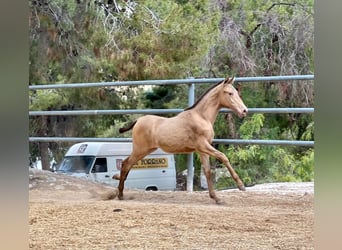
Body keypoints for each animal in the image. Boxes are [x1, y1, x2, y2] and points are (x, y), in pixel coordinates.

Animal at [113, 75, 247, 203]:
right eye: (229, 93)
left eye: (236, 92)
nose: (244, 111)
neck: (201, 116)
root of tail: (137, 121)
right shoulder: (203, 145)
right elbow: (223, 157)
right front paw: (241, 186)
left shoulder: (203, 150)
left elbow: (208, 172)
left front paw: (216, 198)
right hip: (140, 150)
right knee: (125, 164)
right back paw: (120, 194)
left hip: (144, 151)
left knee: (127, 165)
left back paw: (120, 191)